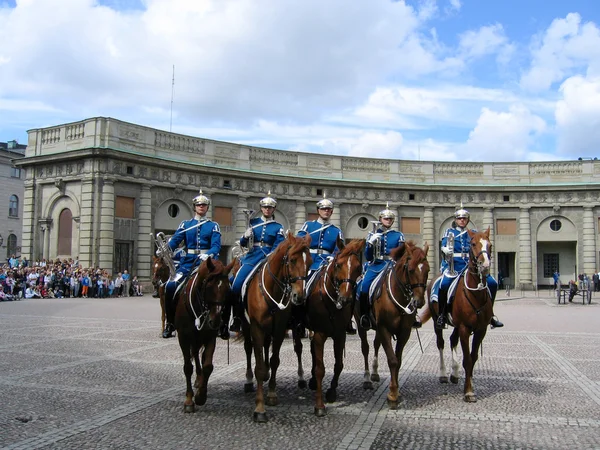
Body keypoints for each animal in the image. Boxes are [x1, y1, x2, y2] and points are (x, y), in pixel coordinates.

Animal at [173, 255, 234, 414]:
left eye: (227, 289)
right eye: (209, 287)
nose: (216, 321)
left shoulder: (210, 337)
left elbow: (208, 366)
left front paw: (201, 395)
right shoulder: (183, 338)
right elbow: (188, 367)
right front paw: (189, 400)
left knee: (197, 356)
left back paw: (199, 381)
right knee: (194, 355)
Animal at [244, 230, 312, 424]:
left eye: (310, 262)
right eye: (292, 260)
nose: (299, 296)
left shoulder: (280, 329)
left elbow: (275, 360)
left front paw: (272, 394)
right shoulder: (257, 329)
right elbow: (259, 366)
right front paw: (259, 408)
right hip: (246, 326)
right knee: (248, 349)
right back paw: (249, 380)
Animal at [302, 237, 364, 416]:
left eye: (359, 267)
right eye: (338, 265)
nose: (345, 299)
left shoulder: (339, 335)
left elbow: (338, 365)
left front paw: (331, 392)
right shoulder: (320, 334)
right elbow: (320, 369)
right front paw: (319, 405)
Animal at [354, 241, 428, 410]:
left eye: (427, 270)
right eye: (411, 269)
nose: (419, 302)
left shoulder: (404, 332)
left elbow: (398, 360)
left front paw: (397, 390)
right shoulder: (384, 328)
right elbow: (392, 360)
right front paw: (392, 394)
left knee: (376, 344)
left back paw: (375, 373)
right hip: (362, 325)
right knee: (365, 348)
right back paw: (367, 379)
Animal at [422, 227, 492, 402]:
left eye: (490, 244)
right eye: (473, 244)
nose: (485, 266)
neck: (476, 293)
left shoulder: (480, 330)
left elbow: (473, 358)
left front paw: (469, 384)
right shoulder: (465, 328)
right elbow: (467, 359)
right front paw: (468, 391)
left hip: (455, 324)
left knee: (453, 340)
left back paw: (454, 373)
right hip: (438, 321)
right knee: (440, 343)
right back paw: (443, 374)